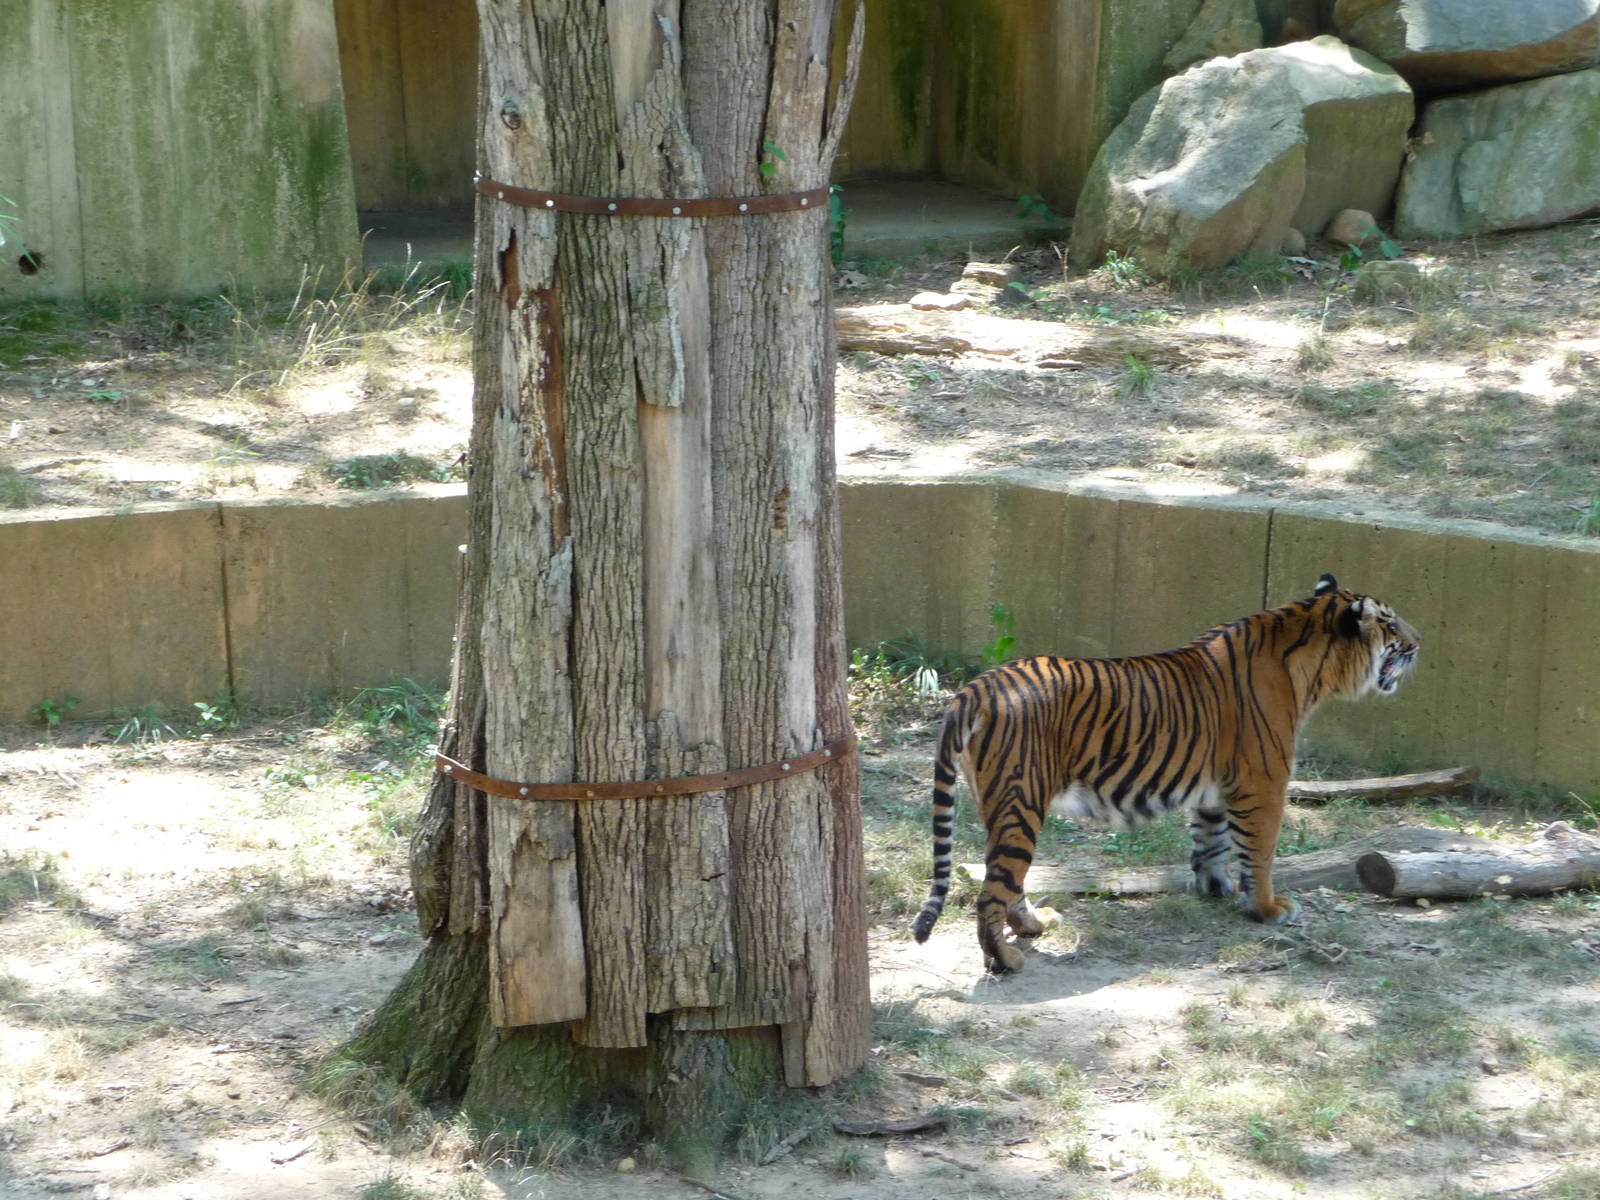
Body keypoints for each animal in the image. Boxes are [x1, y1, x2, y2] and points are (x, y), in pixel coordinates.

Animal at [911, 574, 1420, 974]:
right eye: (1391, 624)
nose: (1419, 645)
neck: (1312, 666)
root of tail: (976, 688)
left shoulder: (1217, 788)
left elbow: (1213, 841)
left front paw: (1215, 889)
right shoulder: (1263, 782)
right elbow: (1260, 851)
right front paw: (1266, 908)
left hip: (998, 803)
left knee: (1007, 880)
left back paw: (1035, 926)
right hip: (1022, 801)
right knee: (992, 893)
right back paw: (1007, 961)